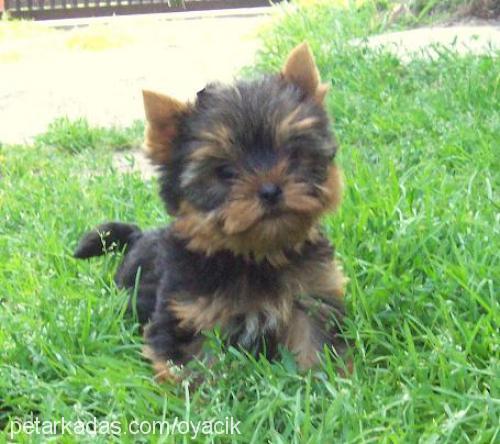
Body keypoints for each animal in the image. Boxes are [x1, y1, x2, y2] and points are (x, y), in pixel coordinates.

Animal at [74, 42, 348, 382]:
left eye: (294, 154)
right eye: (225, 172)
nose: (271, 190)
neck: (254, 255)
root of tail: (140, 235)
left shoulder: (312, 296)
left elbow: (314, 340)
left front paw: (324, 381)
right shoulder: (186, 314)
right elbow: (192, 364)